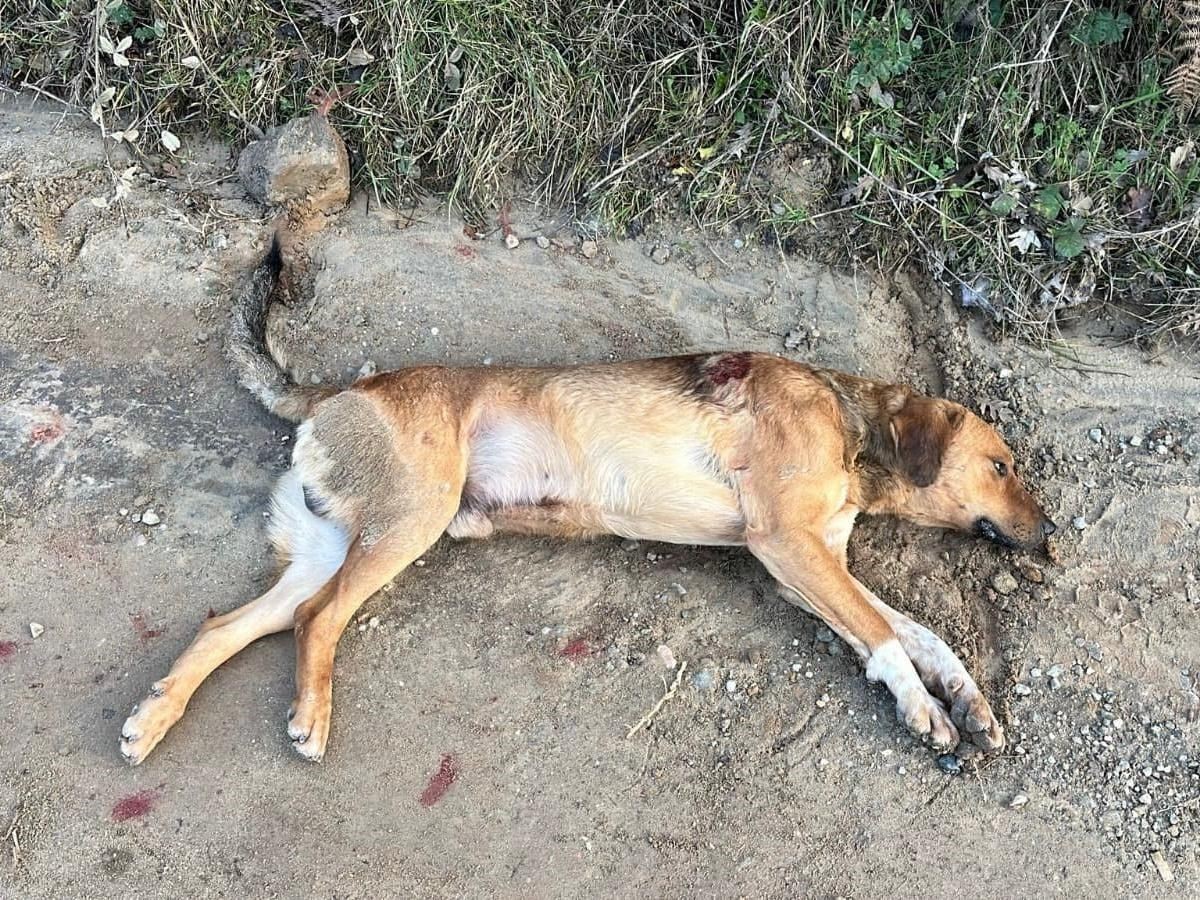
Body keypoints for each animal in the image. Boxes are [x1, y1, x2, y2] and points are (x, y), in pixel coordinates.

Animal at [117, 241, 1056, 768]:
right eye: (1003, 464)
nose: (1051, 538)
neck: (851, 422)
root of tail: (333, 394)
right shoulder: (788, 545)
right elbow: (883, 637)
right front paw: (925, 709)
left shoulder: (809, 562)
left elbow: (915, 631)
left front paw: (964, 695)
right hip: (410, 521)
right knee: (319, 620)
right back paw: (309, 718)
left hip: (329, 542)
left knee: (229, 626)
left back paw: (151, 720)